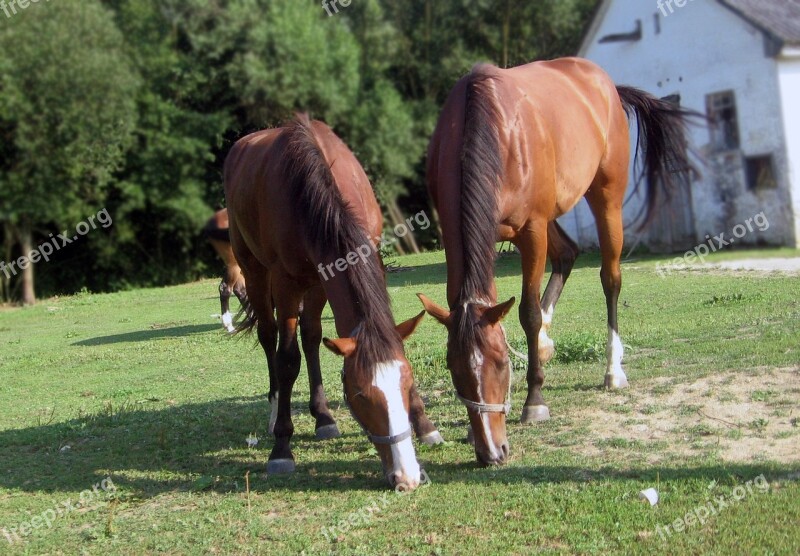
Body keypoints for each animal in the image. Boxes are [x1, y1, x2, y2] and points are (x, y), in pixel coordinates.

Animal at [225, 115, 444, 488]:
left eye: (408, 382)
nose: (407, 476)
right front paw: (282, 448)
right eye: (360, 395)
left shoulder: (364, 261)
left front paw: (424, 424)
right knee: (270, 337)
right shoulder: (286, 283)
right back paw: (275, 411)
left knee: (312, 336)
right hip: (254, 270)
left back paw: (323, 417)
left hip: (317, 285)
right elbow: (287, 360)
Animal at [418, 57, 692, 464]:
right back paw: (547, 344)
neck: (490, 127)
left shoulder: (532, 231)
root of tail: (604, 83)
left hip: (605, 198)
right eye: (453, 368)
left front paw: (535, 402)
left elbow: (528, 312)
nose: (491, 452)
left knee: (610, 278)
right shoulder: (456, 235)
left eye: (501, 363)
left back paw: (612, 369)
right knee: (568, 254)